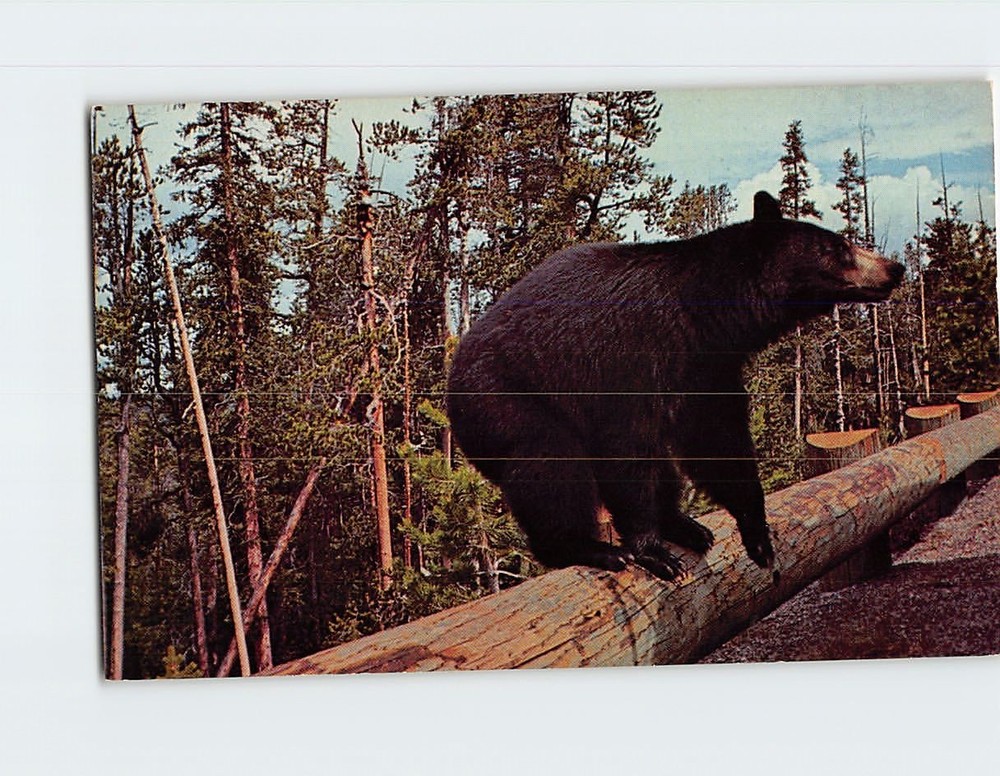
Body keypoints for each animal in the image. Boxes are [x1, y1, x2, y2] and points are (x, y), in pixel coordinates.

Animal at [445, 191, 904, 581]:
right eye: (839, 247)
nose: (894, 268)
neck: (702, 311)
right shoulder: (633, 352)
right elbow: (628, 445)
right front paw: (650, 550)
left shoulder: (706, 366)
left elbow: (718, 438)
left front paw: (757, 532)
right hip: (506, 401)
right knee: (550, 465)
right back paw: (591, 547)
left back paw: (683, 524)